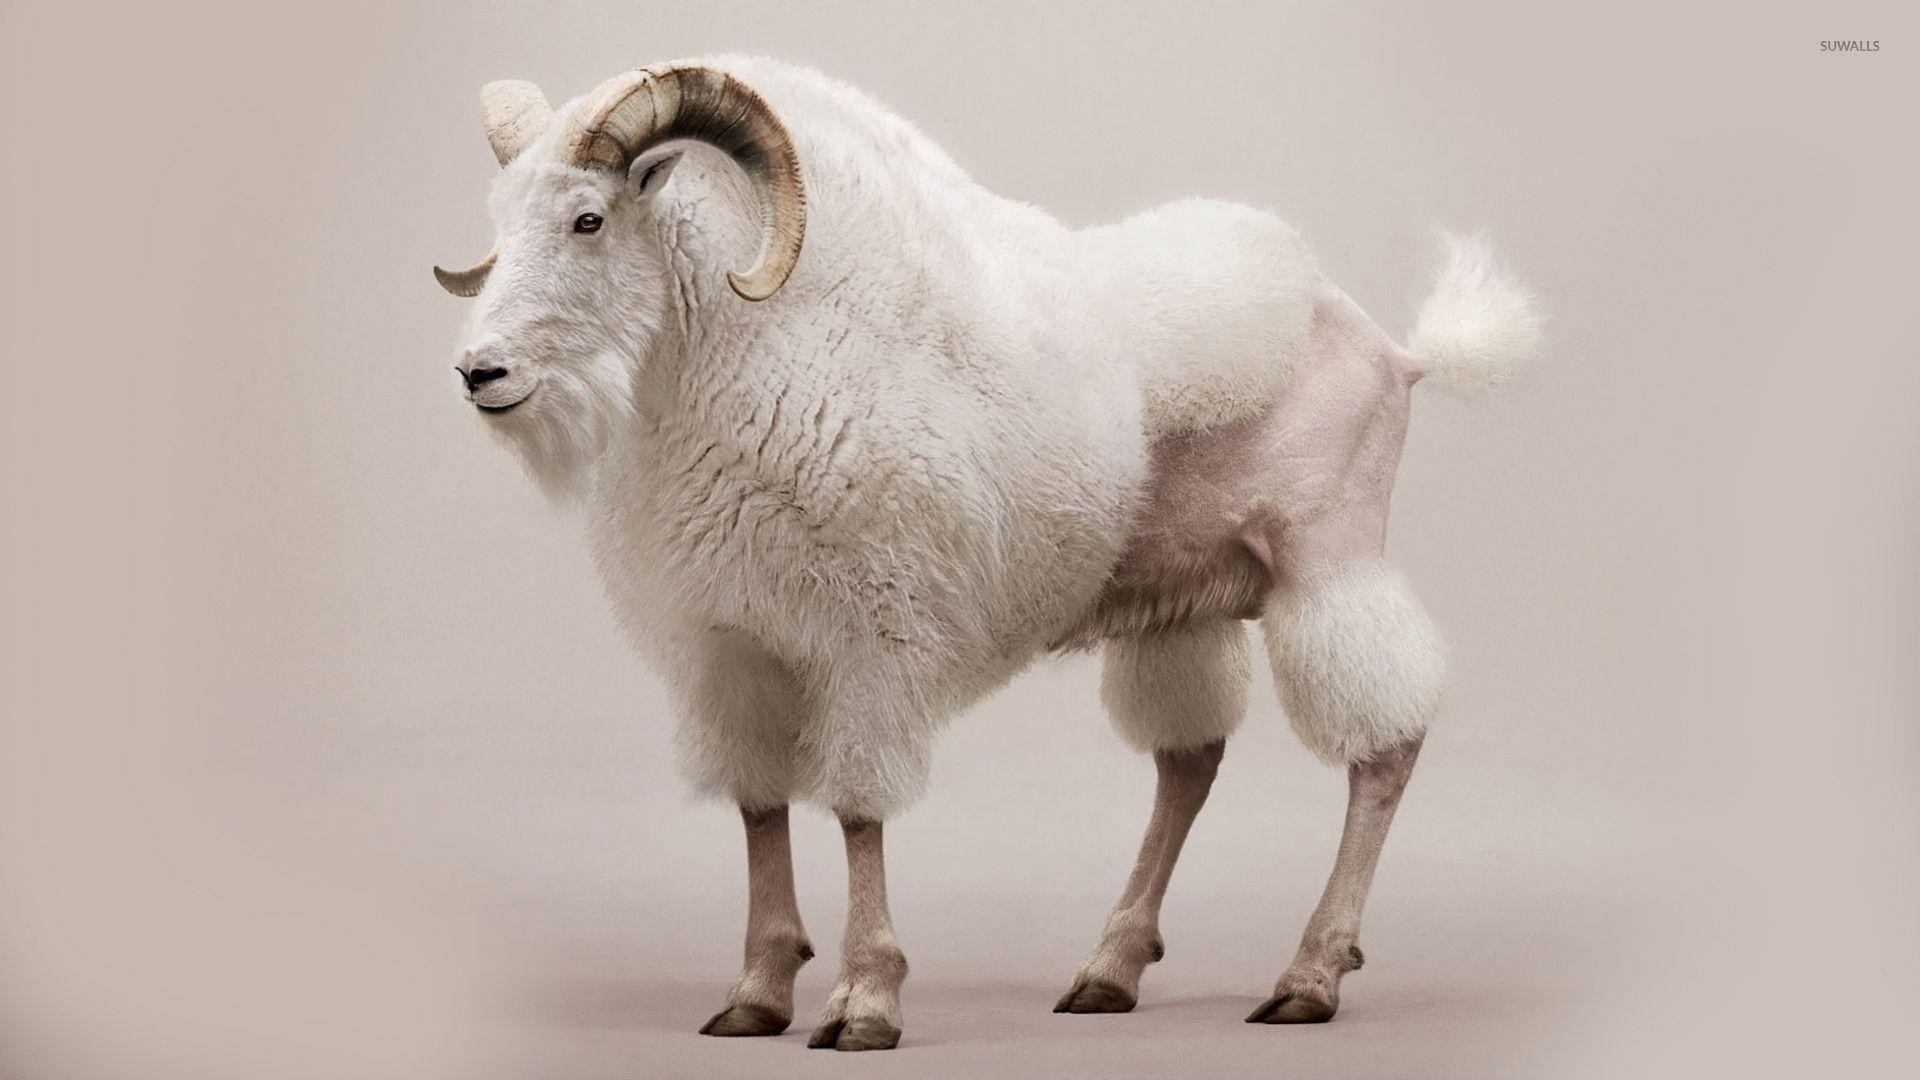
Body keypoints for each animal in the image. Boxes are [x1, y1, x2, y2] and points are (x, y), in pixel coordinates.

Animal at [433, 56, 1542, 1051]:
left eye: (589, 219)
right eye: (502, 221)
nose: (481, 373)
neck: (765, 351)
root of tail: (1395, 351)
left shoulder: (869, 644)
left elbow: (859, 810)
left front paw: (864, 1002)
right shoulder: (737, 653)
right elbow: (759, 811)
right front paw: (756, 994)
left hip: (1329, 560)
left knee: (1385, 747)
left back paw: (1309, 976)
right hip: (1188, 604)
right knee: (1189, 764)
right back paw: (1109, 970)